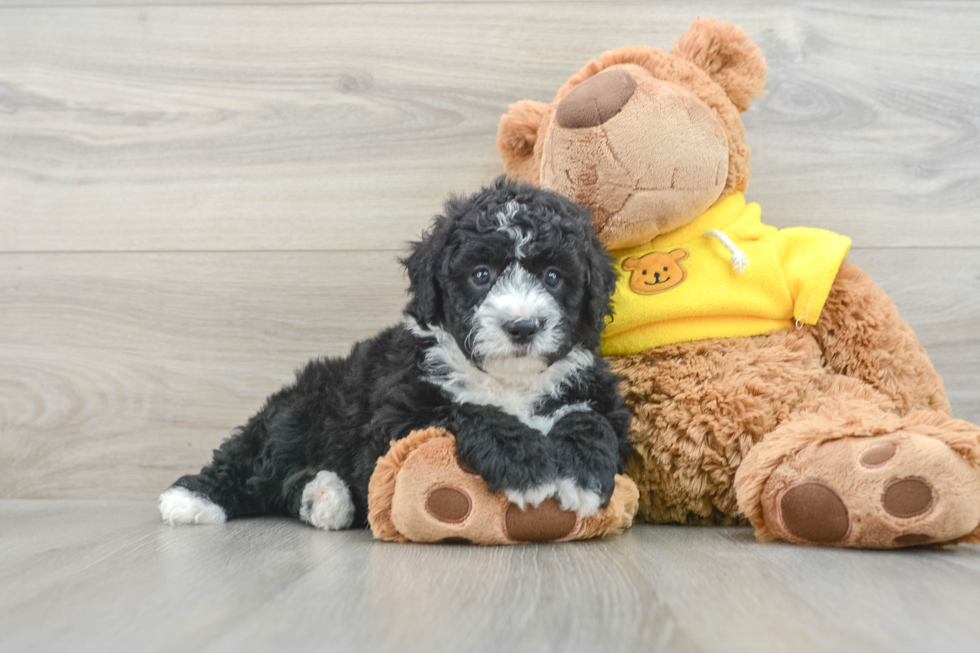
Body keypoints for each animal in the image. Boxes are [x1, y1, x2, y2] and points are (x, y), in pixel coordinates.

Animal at [159, 177, 636, 528]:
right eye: (481, 275)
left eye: (554, 276)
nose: (522, 326)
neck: (508, 380)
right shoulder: (394, 421)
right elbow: (465, 410)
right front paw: (527, 463)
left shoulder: (597, 393)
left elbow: (590, 419)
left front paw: (578, 473)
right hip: (297, 414)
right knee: (253, 457)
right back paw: (192, 499)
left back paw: (325, 498)